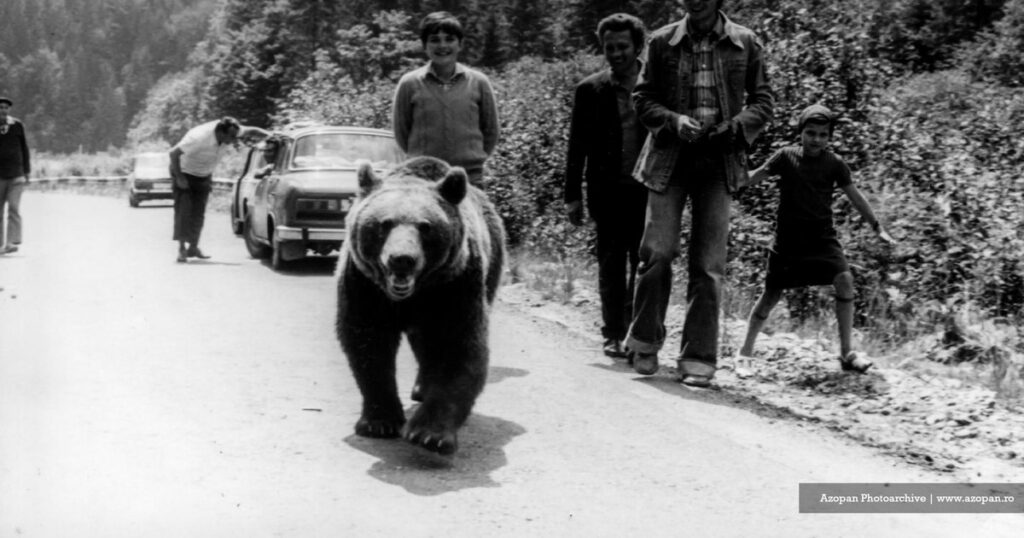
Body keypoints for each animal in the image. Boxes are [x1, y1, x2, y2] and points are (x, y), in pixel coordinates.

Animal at [336, 156, 505, 455]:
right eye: (384, 223)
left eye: (425, 226)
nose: (402, 258)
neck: (412, 295)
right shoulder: (364, 287)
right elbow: (368, 343)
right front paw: (379, 422)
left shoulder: (456, 286)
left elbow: (458, 347)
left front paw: (428, 434)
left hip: (491, 267)